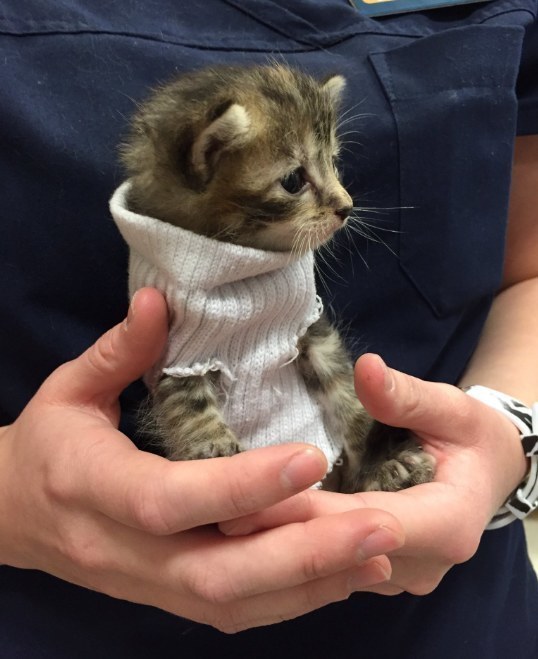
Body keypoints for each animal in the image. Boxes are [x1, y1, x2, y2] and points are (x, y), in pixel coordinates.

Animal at [115, 64, 434, 492]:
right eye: (294, 181)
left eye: (334, 163)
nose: (346, 207)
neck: (241, 265)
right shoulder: (180, 353)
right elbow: (187, 402)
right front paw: (211, 444)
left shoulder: (311, 328)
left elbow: (347, 394)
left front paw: (376, 459)